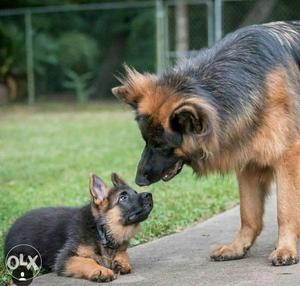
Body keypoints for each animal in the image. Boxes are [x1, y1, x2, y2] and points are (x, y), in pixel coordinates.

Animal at [4, 173, 154, 282]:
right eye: (123, 197)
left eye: (135, 192)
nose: (149, 195)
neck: (101, 230)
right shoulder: (64, 259)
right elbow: (86, 260)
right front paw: (101, 270)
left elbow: (123, 253)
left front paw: (122, 261)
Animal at [112, 21, 300, 266]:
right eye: (146, 141)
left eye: (160, 145)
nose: (139, 181)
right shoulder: (248, 160)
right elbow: (248, 214)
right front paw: (237, 247)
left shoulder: (288, 157)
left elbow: (285, 209)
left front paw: (285, 249)